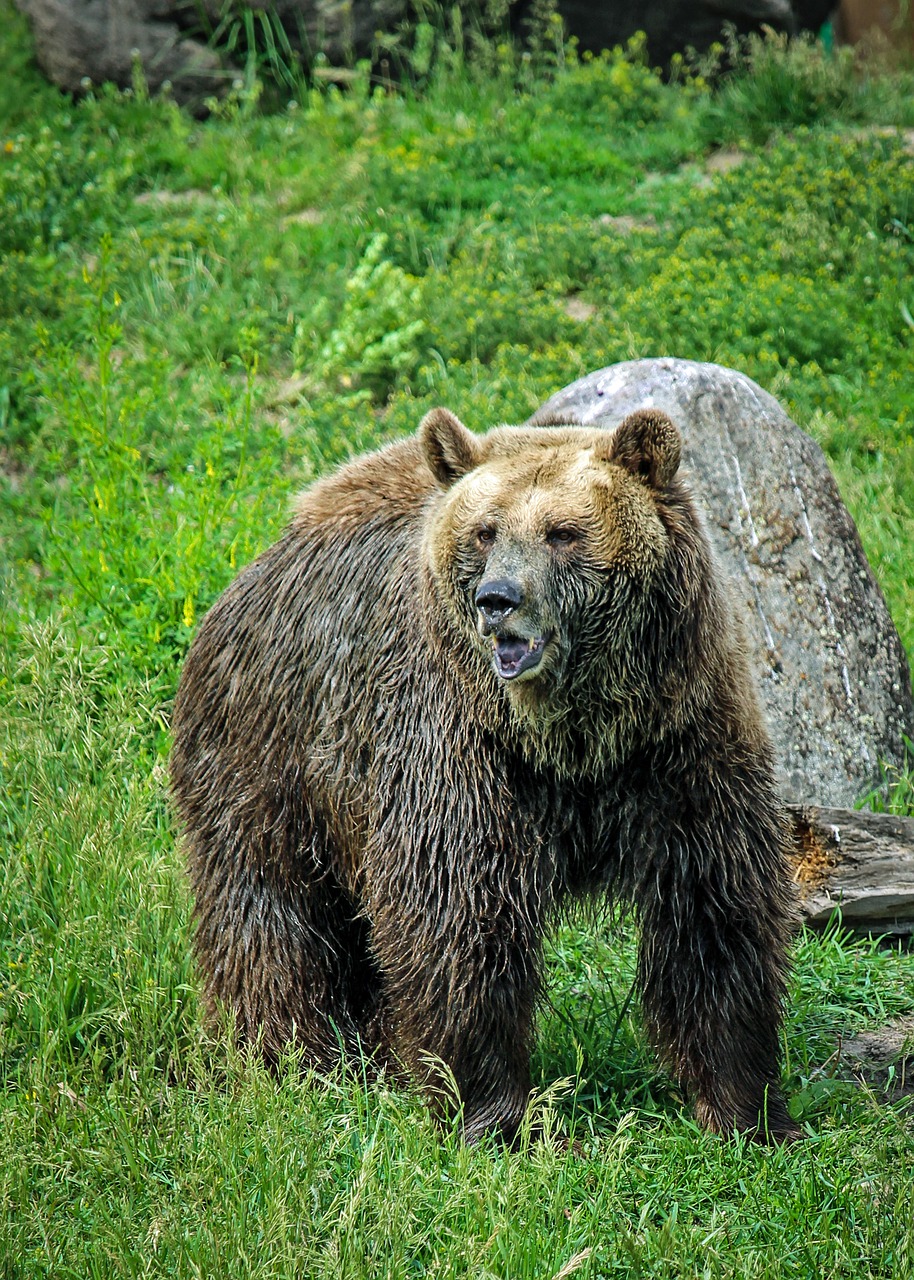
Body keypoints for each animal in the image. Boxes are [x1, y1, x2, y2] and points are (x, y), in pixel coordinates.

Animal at [171, 407, 798, 1141]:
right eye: (486, 530)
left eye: (563, 531)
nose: (497, 598)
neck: (574, 738)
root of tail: (251, 571)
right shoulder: (460, 751)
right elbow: (458, 916)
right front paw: (488, 1113)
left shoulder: (681, 740)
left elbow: (714, 909)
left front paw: (746, 1108)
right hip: (270, 752)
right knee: (269, 913)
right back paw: (291, 1059)